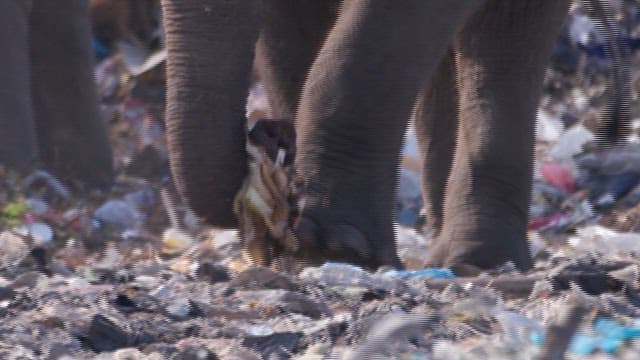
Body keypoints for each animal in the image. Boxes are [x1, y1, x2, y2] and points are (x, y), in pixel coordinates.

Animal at [160, 0, 632, 276]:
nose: (269, 131)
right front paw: (300, 247)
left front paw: (335, 248)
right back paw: (454, 256)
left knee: (502, 41)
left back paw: (477, 261)